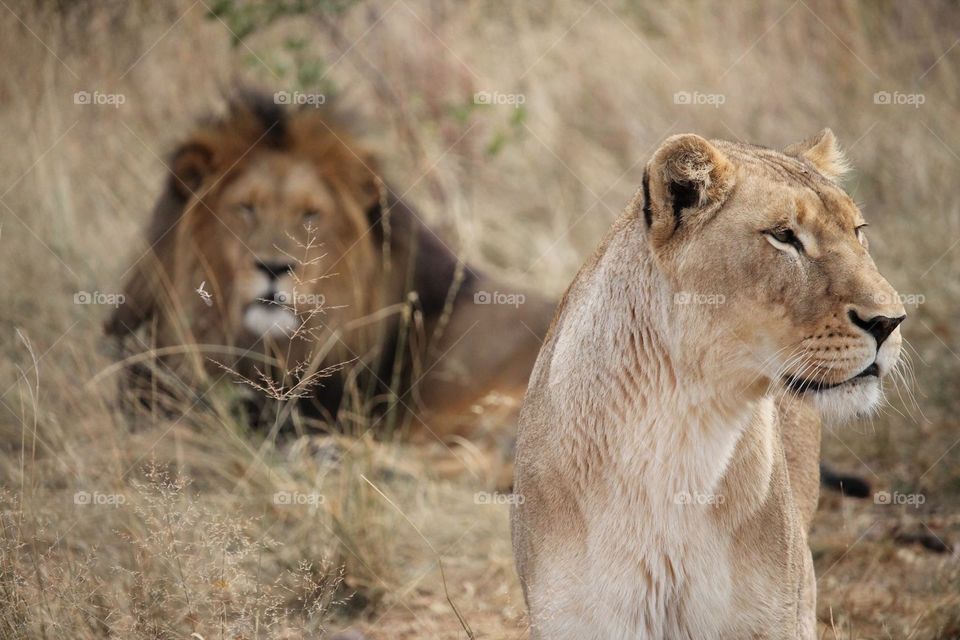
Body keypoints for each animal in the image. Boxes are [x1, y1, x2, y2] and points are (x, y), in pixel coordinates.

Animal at [511, 130, 905, 639]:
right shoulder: (576, 618)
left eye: (858, 231)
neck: (683, 424)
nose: (890, 321)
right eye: (783, 236)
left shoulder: (772, 617)